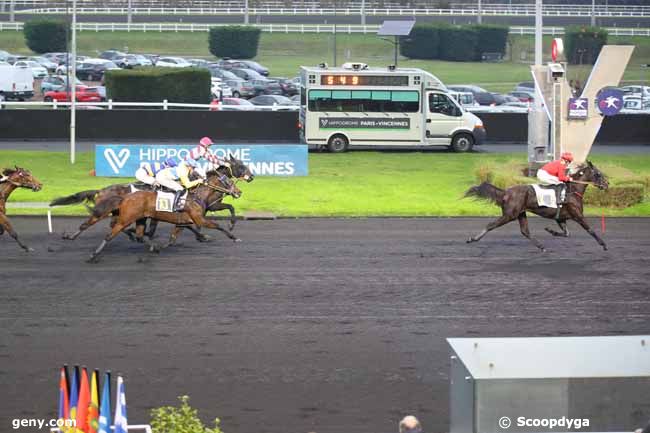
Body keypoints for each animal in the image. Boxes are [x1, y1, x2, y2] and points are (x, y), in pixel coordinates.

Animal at [85, 173, 239, 262]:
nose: (239, 192)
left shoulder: (182, 222)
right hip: (126, 219)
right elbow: (218, 226)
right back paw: (93, 255)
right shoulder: (199, 219)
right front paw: (233, 237)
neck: (196, 196)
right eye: (229, 183)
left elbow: (173, 238)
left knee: (139, 235)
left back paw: (152, 246)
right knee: (110, 234)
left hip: (139, 218)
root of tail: (125, 198)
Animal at [466, 161, 608, 250]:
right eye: (598, 174)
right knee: (491, 225)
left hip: (520, 213)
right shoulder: (578, 215)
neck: (572, 191)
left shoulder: (561, 218)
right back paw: (473, 239)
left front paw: (550, 230)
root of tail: (506, 191)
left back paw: (541, 247)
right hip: (509, 215)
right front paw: (603, 244)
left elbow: (566, 233)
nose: (607, 184)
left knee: (525, 231)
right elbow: (590, 230)